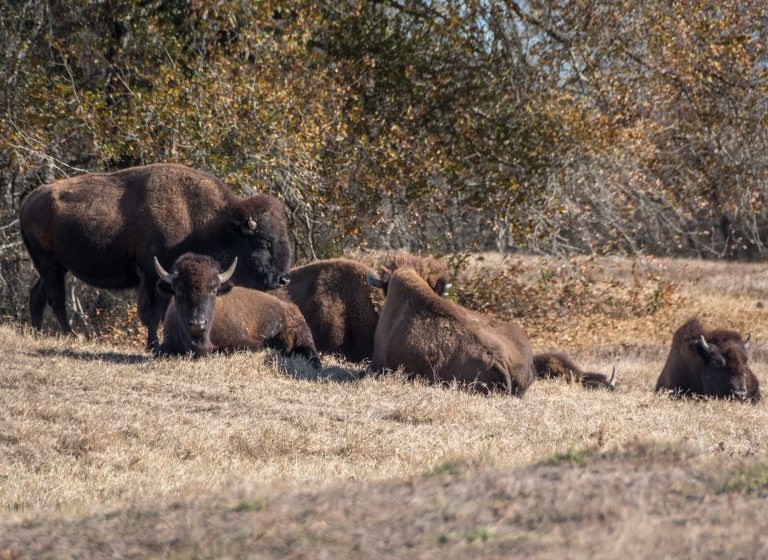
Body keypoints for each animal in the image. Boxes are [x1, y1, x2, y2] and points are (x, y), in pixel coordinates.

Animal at [21, 162, 292, 352]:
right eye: (265, 242)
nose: (283, 279)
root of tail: (29, 200)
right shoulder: (153, 276)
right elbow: (153, 312)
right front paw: (153, 345)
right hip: (49, 264)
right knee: (56, 299)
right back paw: (70, 335)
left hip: (55, 266)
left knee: (38, 295)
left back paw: (36, 333)